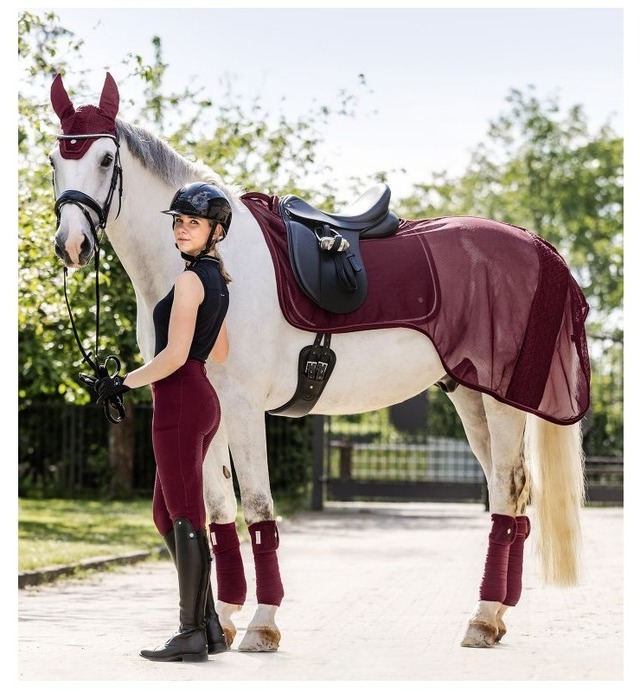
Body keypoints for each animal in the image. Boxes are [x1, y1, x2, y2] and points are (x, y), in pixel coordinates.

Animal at [48, 72, 590, 651]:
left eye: (106, 158)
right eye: (56, 159)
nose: (72, 245)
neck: (206, 266)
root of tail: (538, 247)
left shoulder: (242, 408)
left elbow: (257, 508)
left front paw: (262, 624)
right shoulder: (209, 411)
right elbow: (217, 512)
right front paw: (226, 618)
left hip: (502, 403)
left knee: (508, 488)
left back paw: (484, 618)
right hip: (469, 395)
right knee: (507, 493)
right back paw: (497, 615)